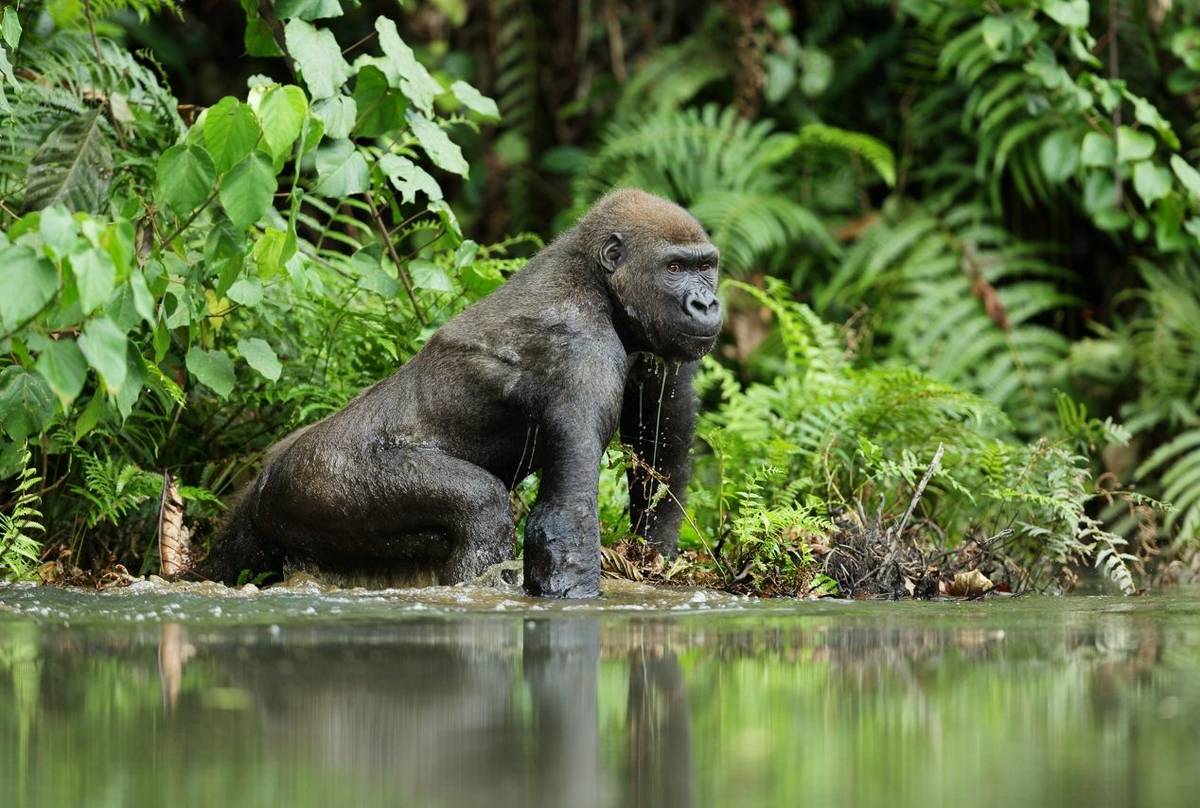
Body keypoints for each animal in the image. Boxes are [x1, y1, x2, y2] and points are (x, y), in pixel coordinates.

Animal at [199, 187, 720, 593]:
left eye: (706, 266)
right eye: (674, 268)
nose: (707, 303)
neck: (596, 279)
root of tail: (265, 478)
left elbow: (661, 451)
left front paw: (654, 555)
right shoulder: (582, 353)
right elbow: (563, 522)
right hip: (317, 481)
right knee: (481, 507)